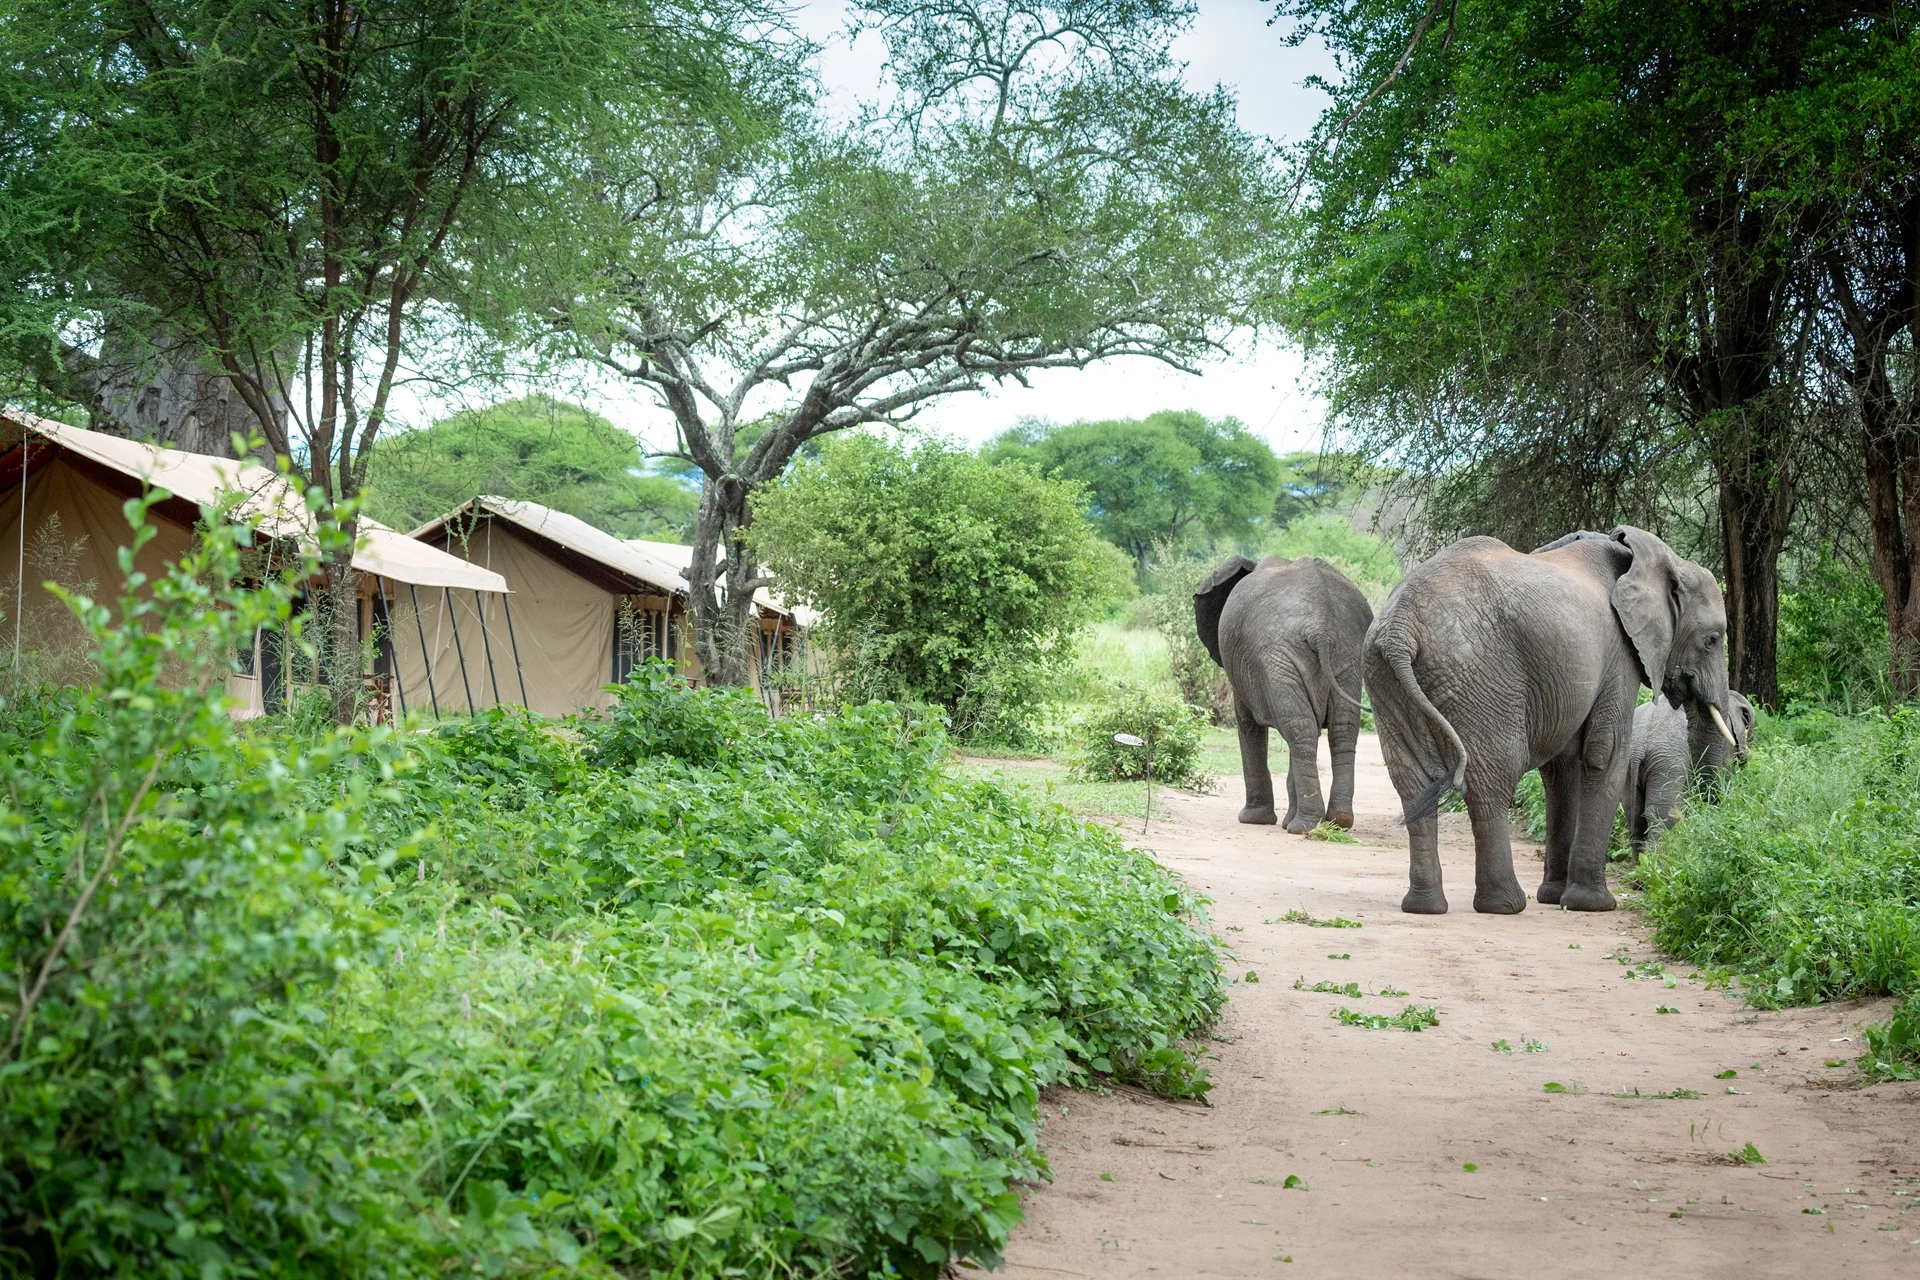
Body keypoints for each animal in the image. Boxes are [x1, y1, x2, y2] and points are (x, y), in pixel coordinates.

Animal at [1195, 554, 1373, 833]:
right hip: (1346, 653)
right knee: (1336, 729)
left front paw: (1253, 820)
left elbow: (1247, 724)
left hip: (1277, 656)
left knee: (1299, 728)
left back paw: (1303, 827)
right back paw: (1336, 822)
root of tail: (1320, 625)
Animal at [1363, 526, 1740, 914]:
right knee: (1492, 778)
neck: (1651, 560)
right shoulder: (1619, 654)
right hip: (1479, 675)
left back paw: (1424, 906)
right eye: (1713, 640)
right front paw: (1593, 905)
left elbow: (1564, 768)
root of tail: (1399, 627)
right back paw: (1505, 905)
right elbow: (1604, 752)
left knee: (1412, 782)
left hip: (1385, 678)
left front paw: (1556, 898)